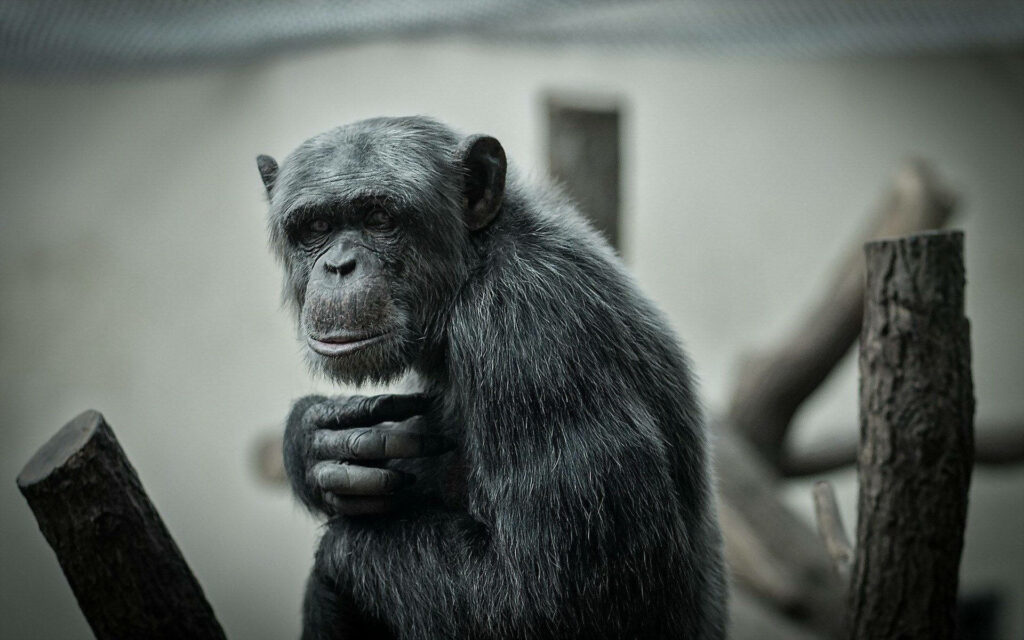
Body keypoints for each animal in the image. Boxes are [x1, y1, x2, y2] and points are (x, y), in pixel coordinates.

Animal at [257, 116, 727, 640]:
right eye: (316, 227)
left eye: (379, 218)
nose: (339, 266)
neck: (474, 264)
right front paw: (313, 438)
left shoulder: (532, 334)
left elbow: (543, 596)